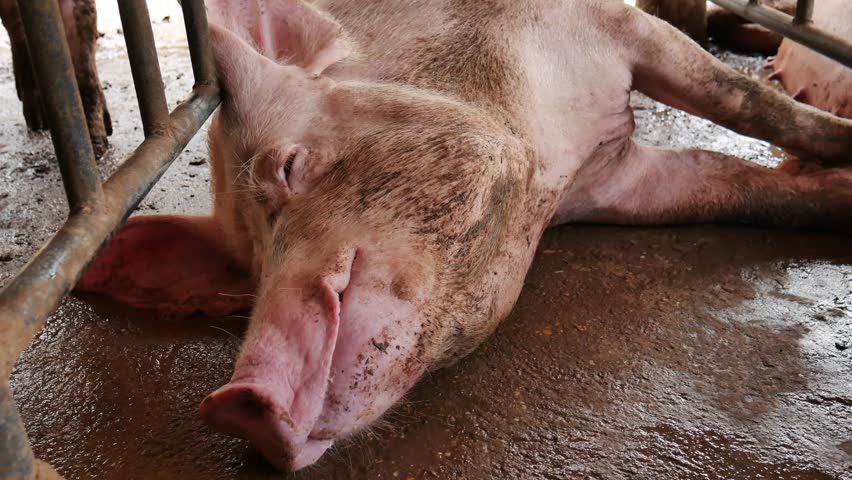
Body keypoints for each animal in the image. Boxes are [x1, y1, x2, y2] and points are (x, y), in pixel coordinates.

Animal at [75, 0, 852, 472]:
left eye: (286, 167)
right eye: (248, 271)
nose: (234, 402)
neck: (549, 158)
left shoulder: (617, 27)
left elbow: (752, 107)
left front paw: (833, 146)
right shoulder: (620, 183)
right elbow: (737, 185)